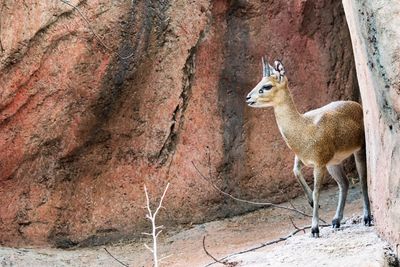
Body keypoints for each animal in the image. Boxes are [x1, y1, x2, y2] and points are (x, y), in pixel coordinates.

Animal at [245, 59, 374, 239]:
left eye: (267, 85)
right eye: (259, 82)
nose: (248, 97)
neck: (303, 128)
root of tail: (358, 105)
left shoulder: (319, 164)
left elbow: (317, 191)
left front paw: (315, 228)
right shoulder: (303, 158)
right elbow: (295, 172)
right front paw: (312, 203)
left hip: (359, 150)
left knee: (362, 179)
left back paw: (367, 218)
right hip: (333, 163)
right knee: (344, 183)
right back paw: (336, 221)